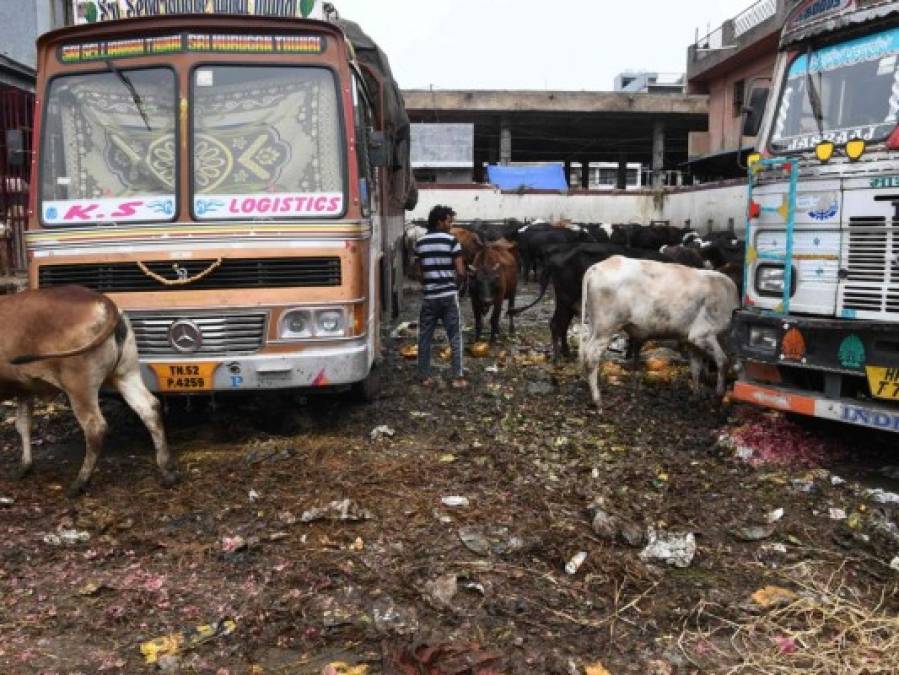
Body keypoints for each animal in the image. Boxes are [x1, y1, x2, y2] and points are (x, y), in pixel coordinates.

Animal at [2, 286, 177, 496]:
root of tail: (102, 300)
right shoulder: (24, 388)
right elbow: (23, 424)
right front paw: (25, 466)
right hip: (126, 374)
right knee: (149, 408)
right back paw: (167, 471)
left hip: (79, 385)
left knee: (95, 426)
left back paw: (79, 482)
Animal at [584, 255, 740, 410]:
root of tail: (601, 265)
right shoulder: (702, 335)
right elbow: (723, 361)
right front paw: (718, 397)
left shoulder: (692, 341)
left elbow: (696, 368)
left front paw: (696, 397)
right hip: (606, 328)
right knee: (592, 356)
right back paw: (598, 401)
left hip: (595, 327)